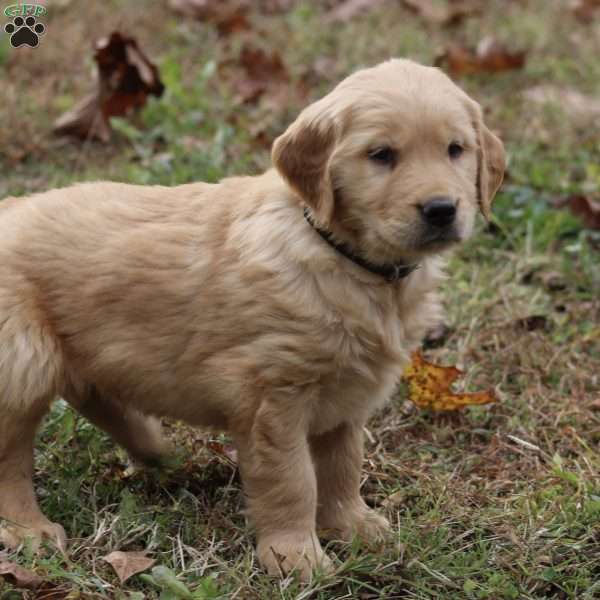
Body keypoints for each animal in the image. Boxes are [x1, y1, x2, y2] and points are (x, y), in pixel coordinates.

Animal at [0, 58, 506, 580]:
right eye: (381, 155)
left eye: (455, 149)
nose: (442, 209)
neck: (338, 254)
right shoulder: (273, 397)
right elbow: (293, 480)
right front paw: (296, 557)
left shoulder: (348, 396)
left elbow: (343, 466)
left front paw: (352, 525)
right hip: (21, 362)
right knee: (10, 459)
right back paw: (29, 530)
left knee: (95, 394)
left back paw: (155, 449)